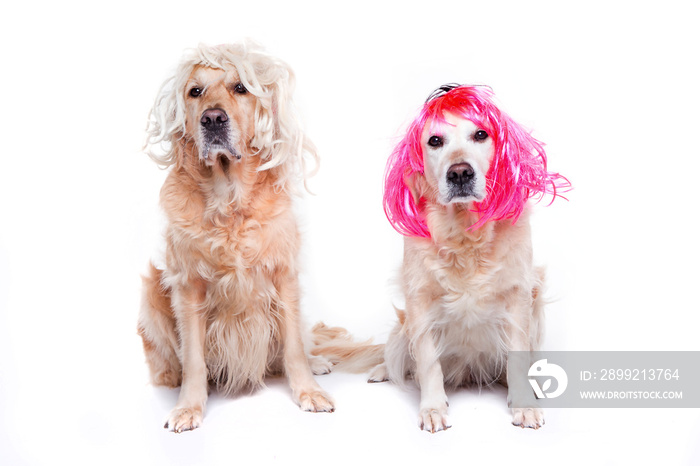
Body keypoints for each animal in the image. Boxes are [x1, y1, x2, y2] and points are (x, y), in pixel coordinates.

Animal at [138, 43, 334, 434]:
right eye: (194, 91)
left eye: (240, 88)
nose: (212, 119)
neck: (228, 199)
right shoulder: (189, 285)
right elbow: (194, 358)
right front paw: (188, 406)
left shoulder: (283, 274)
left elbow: (293, 347)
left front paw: (308, 390)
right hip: (152, 288)